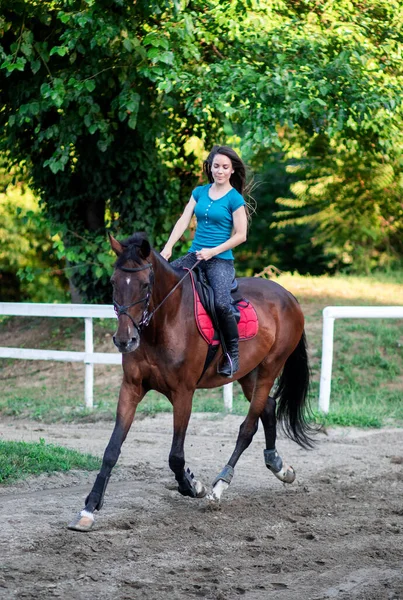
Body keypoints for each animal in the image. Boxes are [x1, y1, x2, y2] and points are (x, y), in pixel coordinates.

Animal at [68, 232, 312, 532]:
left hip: (269, 368)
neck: (163, 323)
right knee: (267, 407)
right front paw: (89, 509)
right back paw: (279, 467)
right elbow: (111, 450)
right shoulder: (131, 388)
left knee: (248, 426)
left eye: (145, 284)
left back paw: (220, 486)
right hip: (248, 375)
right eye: (114, 282)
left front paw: (193, 485)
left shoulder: (183, 393)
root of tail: (288, 296)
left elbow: (175, 456)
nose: (125, 340)